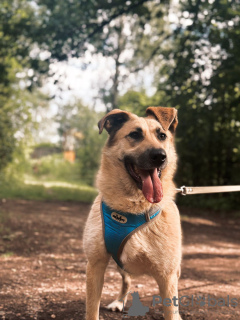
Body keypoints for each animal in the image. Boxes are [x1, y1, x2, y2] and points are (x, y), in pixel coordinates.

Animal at [83, 106, 182, 318]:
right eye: (135, 135)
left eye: (162, 135)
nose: (160, 155)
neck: (135, 207)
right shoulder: (95, 265)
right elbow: (92, 310)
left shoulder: (168, 275)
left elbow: (171, 310)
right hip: (121, 264)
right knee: (127, 281)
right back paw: (119, 301)